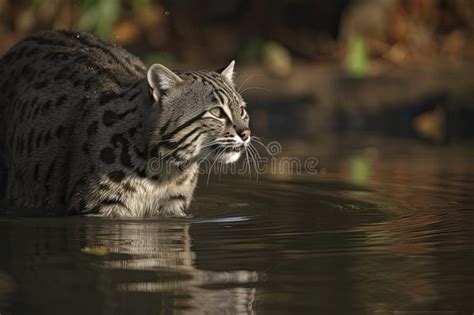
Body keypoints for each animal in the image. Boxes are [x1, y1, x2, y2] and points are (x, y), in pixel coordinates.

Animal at [0, 30, 252, 217]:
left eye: (242, 110)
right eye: (217, 112)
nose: (246, 133)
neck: (162, 170)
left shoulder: (172, 206)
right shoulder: (100, 206)